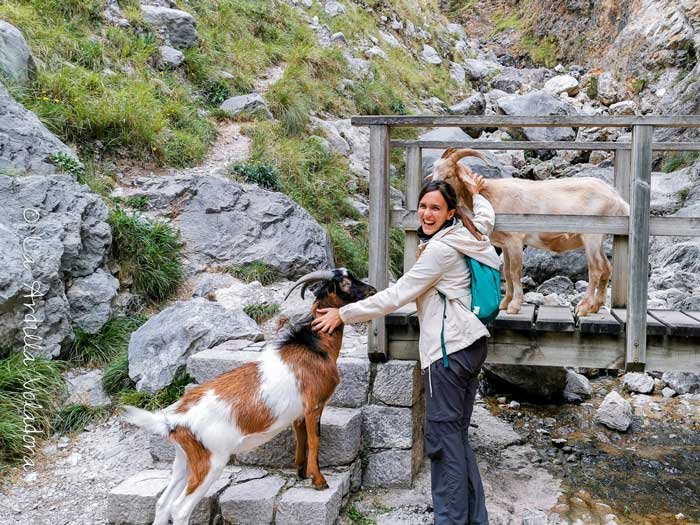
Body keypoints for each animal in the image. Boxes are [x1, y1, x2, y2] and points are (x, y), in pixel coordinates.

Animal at [126, 270, 378, 524]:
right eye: (344, 282)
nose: (373, 291)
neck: (315, 346)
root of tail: (174, 421)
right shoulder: (314, 405)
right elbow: (315, 439)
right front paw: (318, 481)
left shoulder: (298, 413)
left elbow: (301, 437)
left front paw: (300, 471)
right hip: (211, 461)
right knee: (179, 508)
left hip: (184, 460)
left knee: (163, 503)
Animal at [432, 147, 628, 316]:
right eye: (433, 171)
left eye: (449, 175)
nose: (435, 191)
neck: (491, 195)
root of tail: (616, 198)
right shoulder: (505, 244)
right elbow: (507, 271)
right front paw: (505, 303)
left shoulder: (515, 240)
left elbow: (515, 271)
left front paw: (514, 306)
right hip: (599, 239)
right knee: (606, 267)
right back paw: (595, 306)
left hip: (591, 236)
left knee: (596, 268)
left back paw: (584, 308)